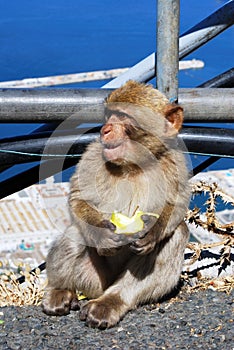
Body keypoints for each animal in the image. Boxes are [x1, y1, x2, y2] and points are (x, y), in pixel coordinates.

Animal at [41, 80, 190, 330]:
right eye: (109, 115)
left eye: (123, 116)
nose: (105, 130)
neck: (134, 164)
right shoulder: (93, 153)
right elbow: (78, 197)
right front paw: (104, 236)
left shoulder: (175, 159)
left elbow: (178, 205)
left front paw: (152, 233)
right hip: (92, 280)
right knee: (76, 233)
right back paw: (60, 289)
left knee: (177, 234)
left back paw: (111, 302)